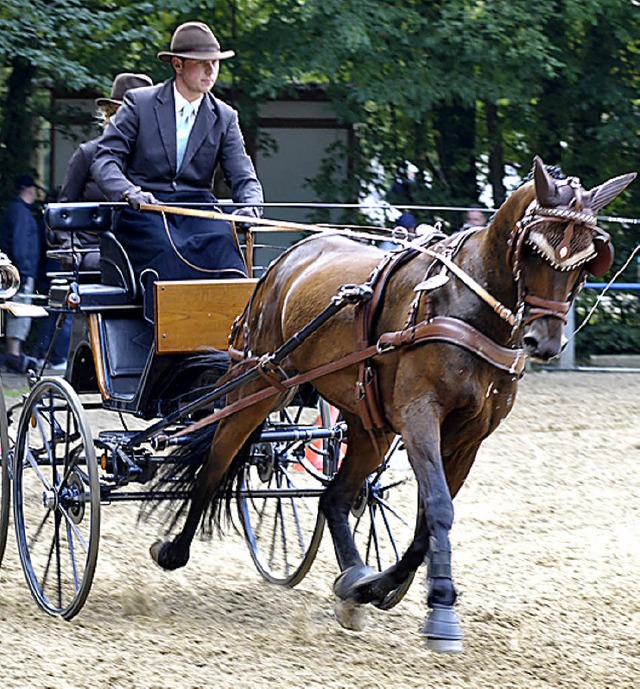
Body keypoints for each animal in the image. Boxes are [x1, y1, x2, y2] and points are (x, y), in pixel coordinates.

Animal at [150, 159, 636, 652]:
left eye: (586, 260)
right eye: (534, 250)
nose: (545, 343)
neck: (468, 306)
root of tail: (287, 260)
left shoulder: (469, 437)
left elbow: (426, 524)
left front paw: (379, 589)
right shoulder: (419, 416)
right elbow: (439, 508)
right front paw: (441, 613)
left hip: (367, 422)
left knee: (335, 496)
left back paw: (352, 582)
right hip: (259, 383)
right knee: (216, 461)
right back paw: (174, 549)